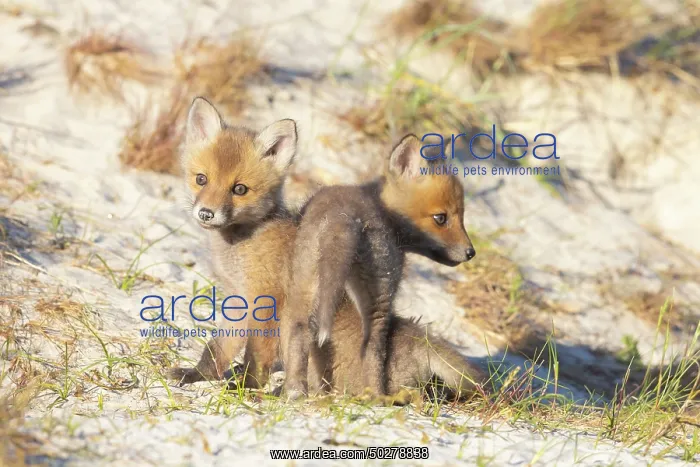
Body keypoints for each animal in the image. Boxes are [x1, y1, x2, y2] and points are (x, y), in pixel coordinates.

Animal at [282, 134, 476, 399]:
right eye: (441, 218)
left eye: (463, 216)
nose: (471, 252)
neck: (386, 210)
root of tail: (341, 216)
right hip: (378, 297)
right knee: (371, 345)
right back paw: (377, 396)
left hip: (305, 285)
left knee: (298, 331)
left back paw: (295, 390)